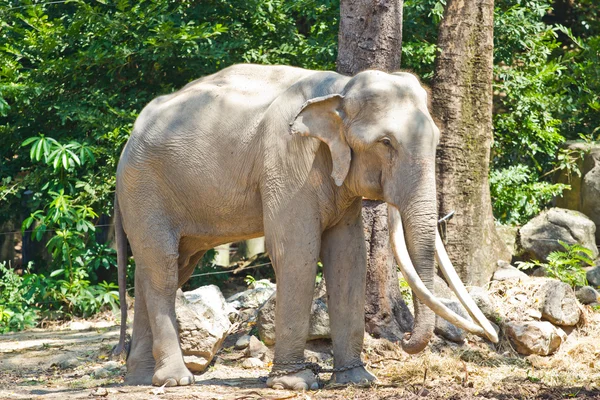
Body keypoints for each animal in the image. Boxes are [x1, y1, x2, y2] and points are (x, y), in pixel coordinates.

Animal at [112, 63, 496, 390]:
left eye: (435, 139)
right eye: (386, 143)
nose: (401, 339)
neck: (340, 87)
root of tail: (129, 139)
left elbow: (349, 256)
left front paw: (356, 380)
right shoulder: (289, 160)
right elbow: (297, 251)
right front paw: (294, 384)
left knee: (163, 269)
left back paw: (141, 379)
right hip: (144, 188)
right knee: (162, 269)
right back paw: (175, 380)